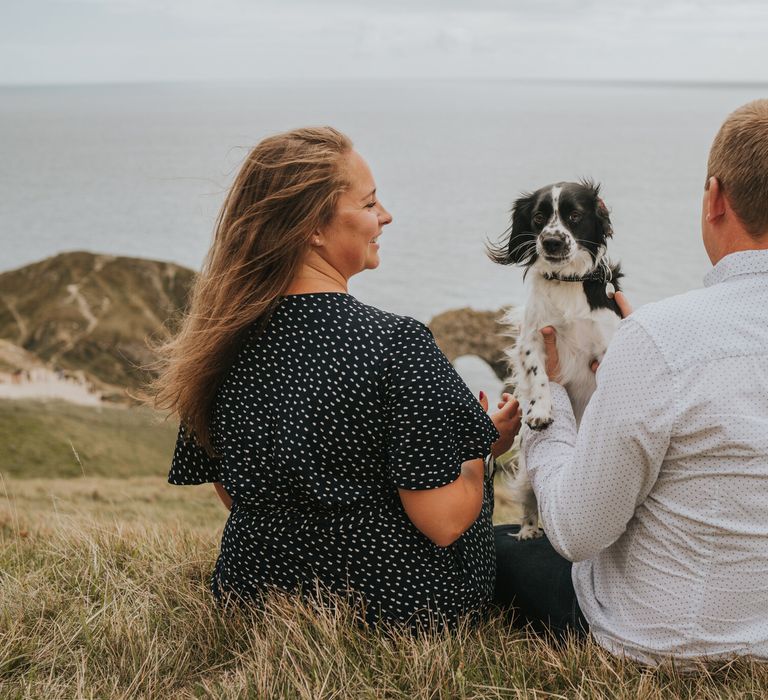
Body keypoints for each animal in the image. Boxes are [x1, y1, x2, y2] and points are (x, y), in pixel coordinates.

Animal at [492, 182, 624, 540]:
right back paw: (528, 530)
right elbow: (538, 377)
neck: (567, 282)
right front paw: (540, 413)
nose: (551, 240)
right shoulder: (533, 339)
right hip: (527, 474)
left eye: (574, 216)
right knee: (530, 498)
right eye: (538, 218)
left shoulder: (605, 347)